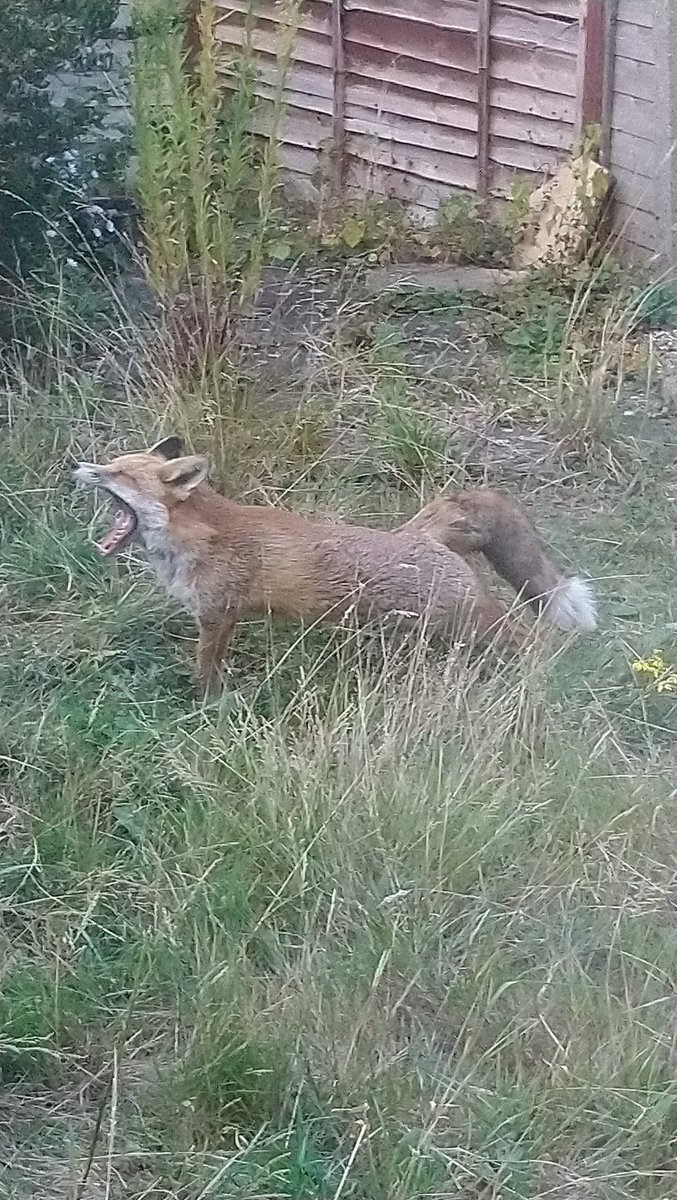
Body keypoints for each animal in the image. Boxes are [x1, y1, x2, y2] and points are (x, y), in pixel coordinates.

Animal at [72, 438, 596, 694]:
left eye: (117, 473)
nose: (76, 467)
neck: (198, 538)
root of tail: (417, 534)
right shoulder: (221, 616)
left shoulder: (218, 615)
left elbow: (206, 671)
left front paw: (203, 704)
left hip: (470, 621)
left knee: (532, 637)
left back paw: (546, 673)